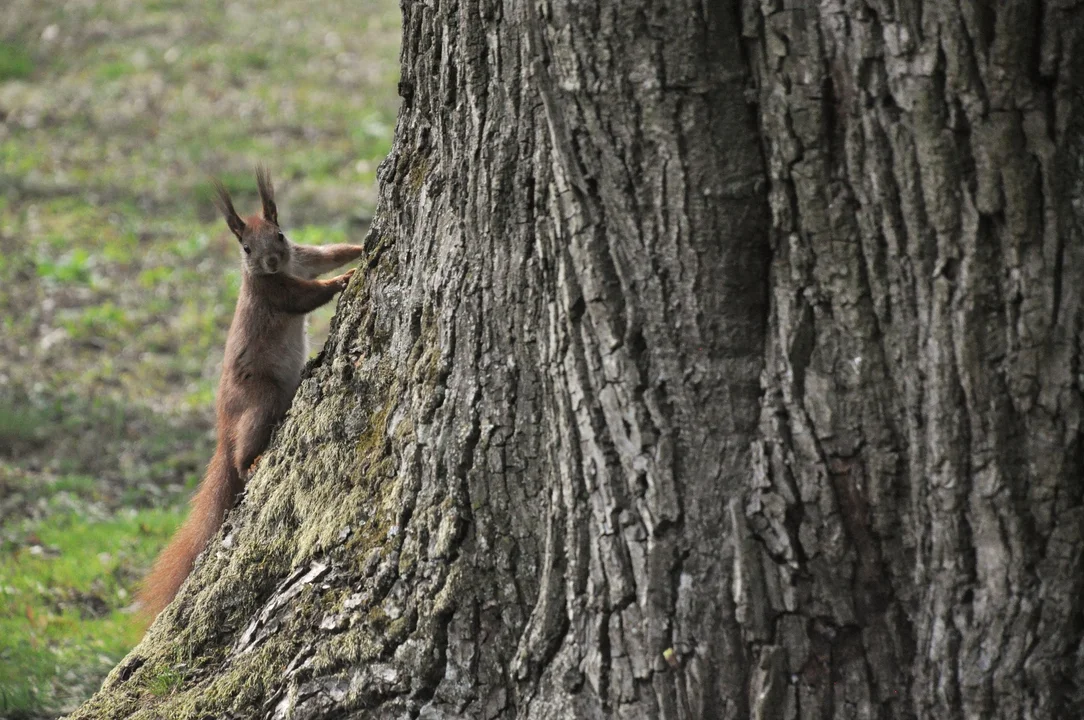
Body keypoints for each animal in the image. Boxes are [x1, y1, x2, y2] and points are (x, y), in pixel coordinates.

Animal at [136, 166, 359, 620]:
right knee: (243, 453)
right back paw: (250, 463)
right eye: (245, 247)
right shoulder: (275, 292)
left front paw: (361, 247)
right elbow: (307, 295)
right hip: (260, 399)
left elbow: (329, 252)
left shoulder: (303, 256)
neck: (276, 270)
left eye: (280, 235)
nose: (271, 261)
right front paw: (345, 280)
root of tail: (223, 431)